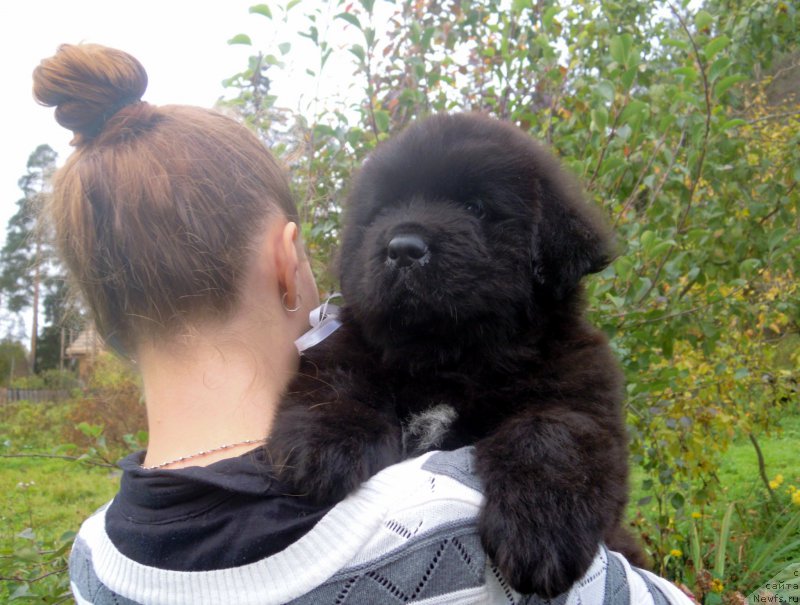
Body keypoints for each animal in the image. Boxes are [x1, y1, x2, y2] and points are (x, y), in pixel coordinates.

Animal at [268, 112, 644, 596]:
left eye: (476, 208)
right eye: (384, 209)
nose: (403, 248)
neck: (449, 359)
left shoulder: (580, 393)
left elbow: (553, 434)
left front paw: (540, 530)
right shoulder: (350, 345)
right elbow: (337, 379)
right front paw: (326, 445)